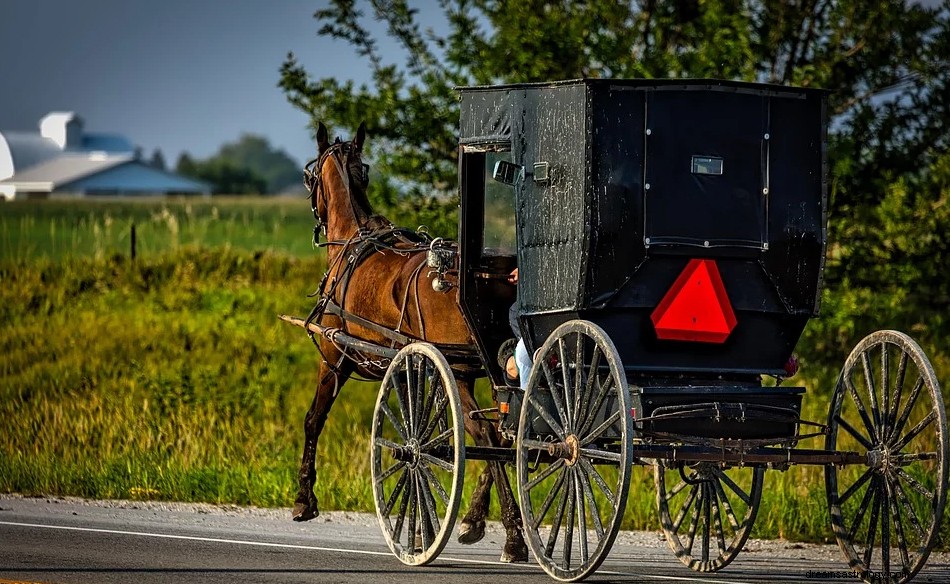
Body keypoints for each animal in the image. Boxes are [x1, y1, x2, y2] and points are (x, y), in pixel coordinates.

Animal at [290, 121, 528, 564]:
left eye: (309, 177)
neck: (352, 241)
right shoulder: (413, 370)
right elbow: (429, 438)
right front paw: (422, 527)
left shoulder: (333, 359)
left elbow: (314, 420)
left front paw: (304, 499)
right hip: (486, 371)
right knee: (507, 434)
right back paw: (477, 522)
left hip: (460, 372)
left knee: (488, 436)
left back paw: (513, 535)